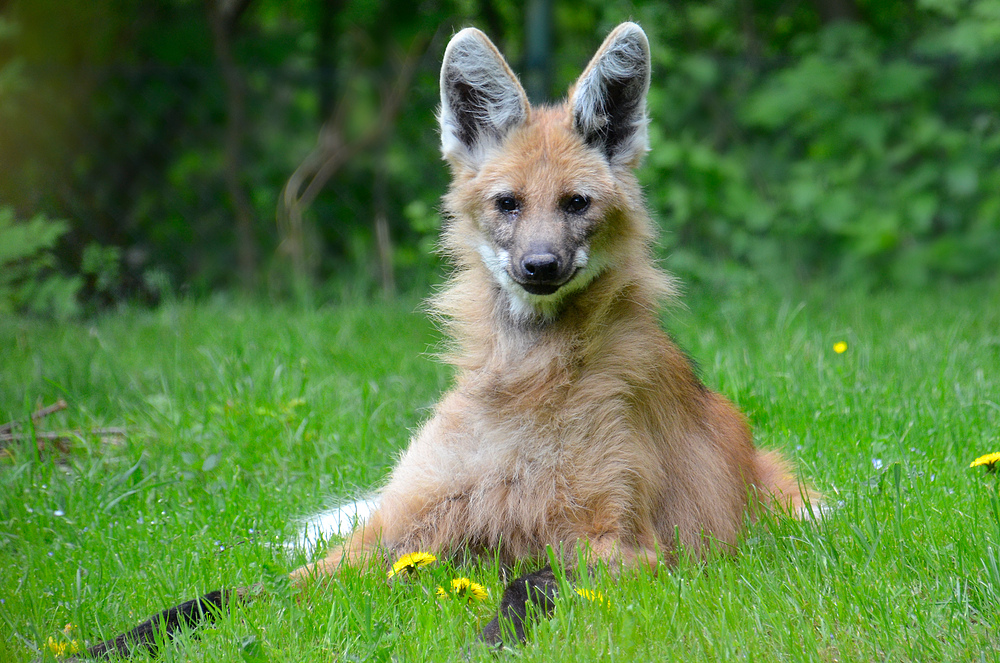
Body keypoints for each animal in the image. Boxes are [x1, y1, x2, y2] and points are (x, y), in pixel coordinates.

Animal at [74, 20, 808, 660]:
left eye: (576, 204)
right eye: (508, 204)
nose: (540, 266)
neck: (526, 379)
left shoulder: (626, 548)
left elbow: (529, 582)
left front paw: (490, 641)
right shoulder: (397, 535)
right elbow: (222, 596)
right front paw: (108, 643)